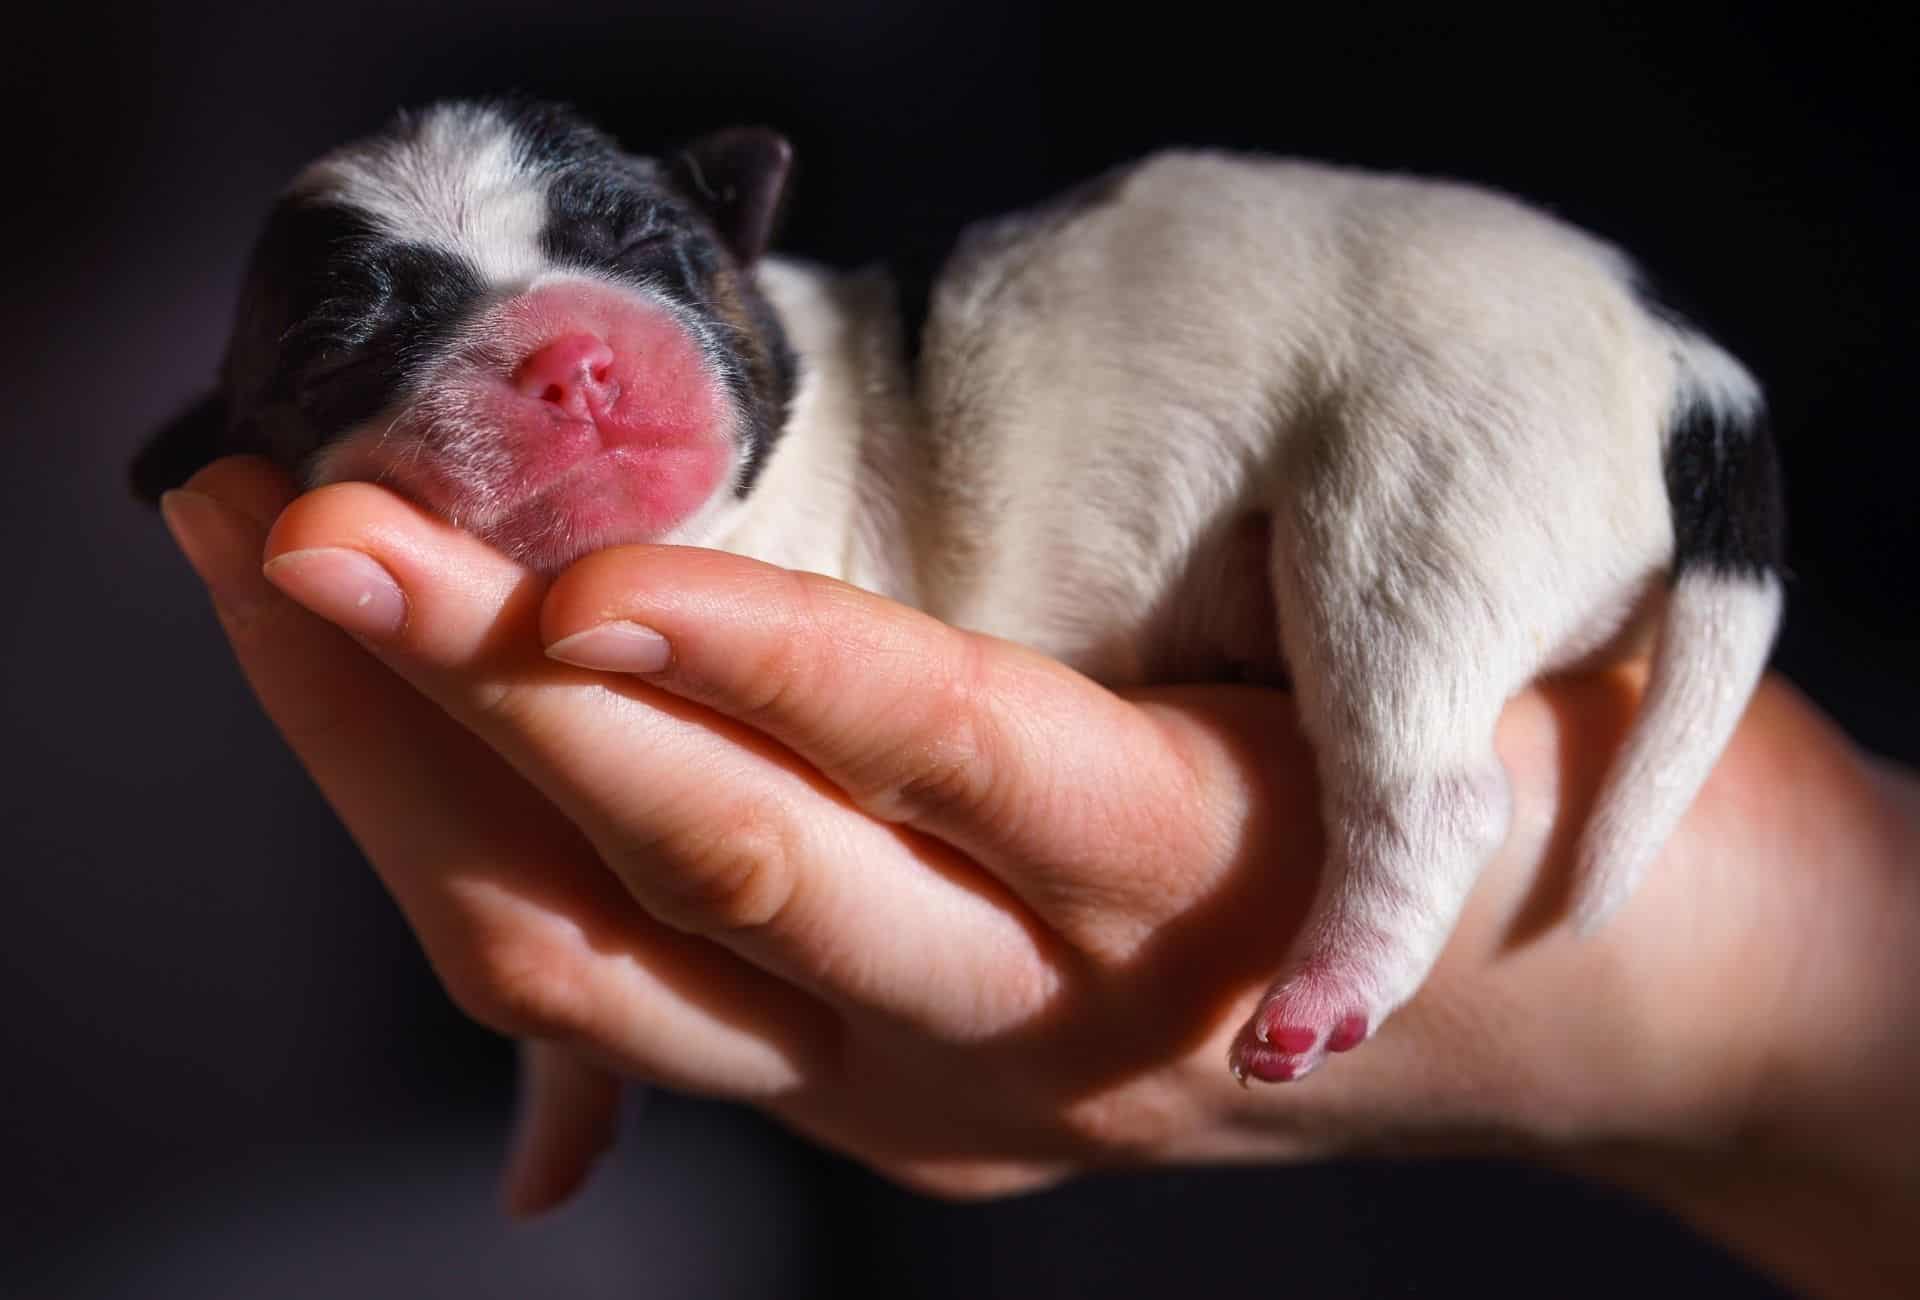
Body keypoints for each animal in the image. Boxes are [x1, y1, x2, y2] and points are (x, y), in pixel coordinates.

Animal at [135, 93, 1781, 1083]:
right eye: (346, 347)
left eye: (655, 248)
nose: (577, 360)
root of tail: (1677, 358)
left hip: (1426, 490)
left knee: (1431, 781)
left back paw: (1329, 981)